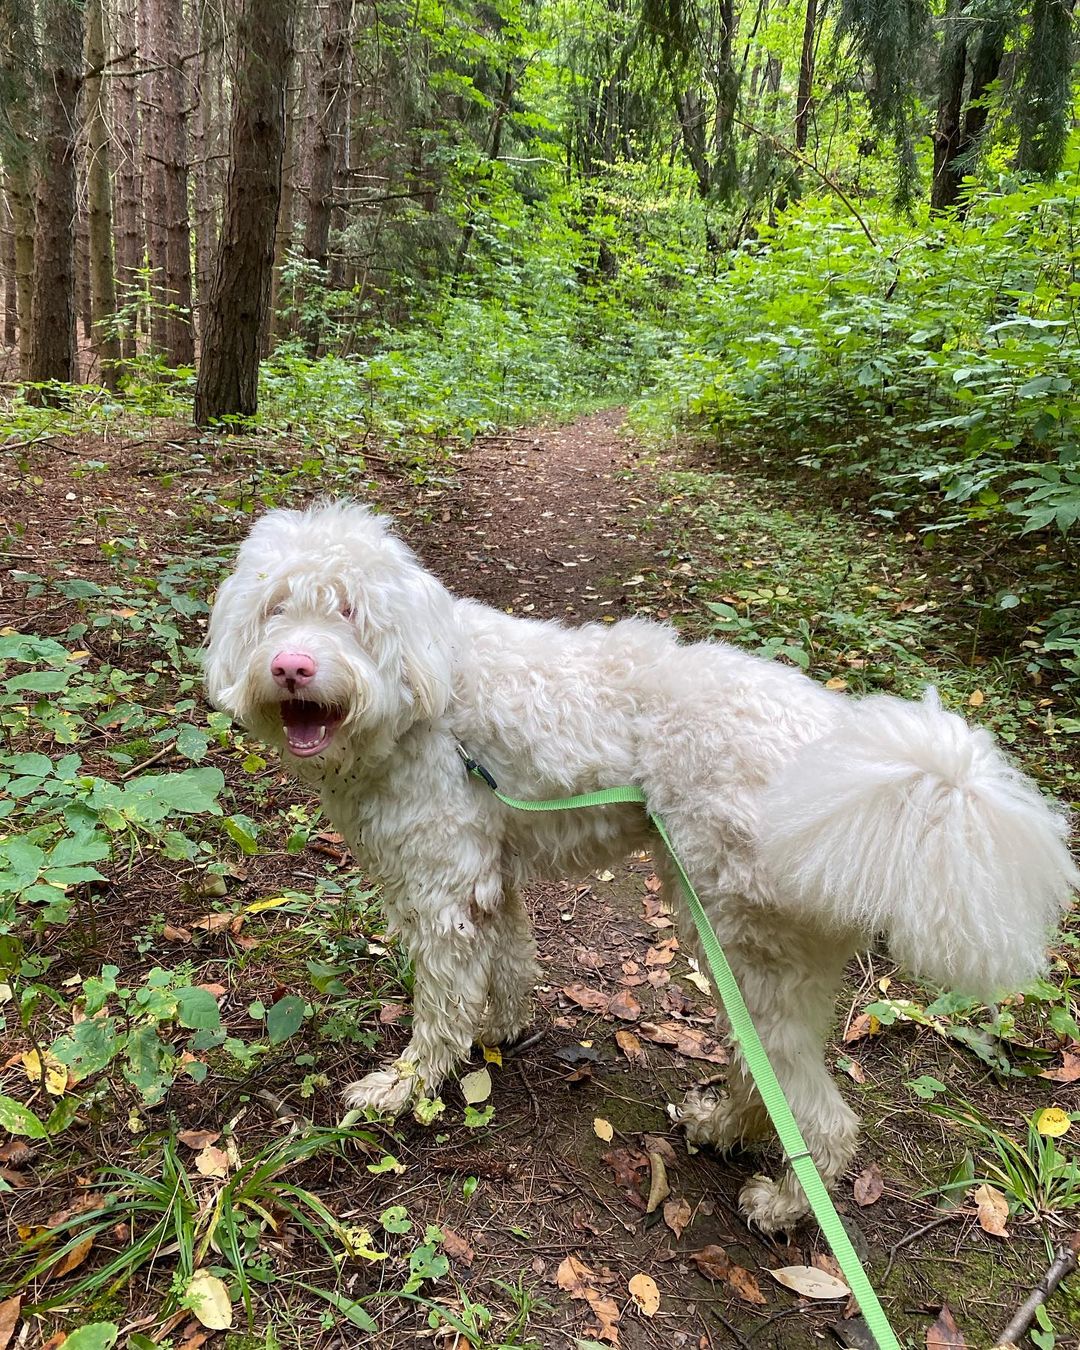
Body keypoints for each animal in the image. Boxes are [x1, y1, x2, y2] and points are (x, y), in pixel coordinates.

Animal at [206, 499, 1074, 1236]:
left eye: (349, 611)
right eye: (275, 608)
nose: (290, 667)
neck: (430, 695)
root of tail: (854, 771)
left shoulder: (442, 887)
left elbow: (441, 1007)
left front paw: (406, 1085)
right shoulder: (491, 873)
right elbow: (509, 961)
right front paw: (502, 1028)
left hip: (743, 944)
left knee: (816, 1111)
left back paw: (783, 1203)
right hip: (762, 959)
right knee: (763, 1076)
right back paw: (720, 1128)